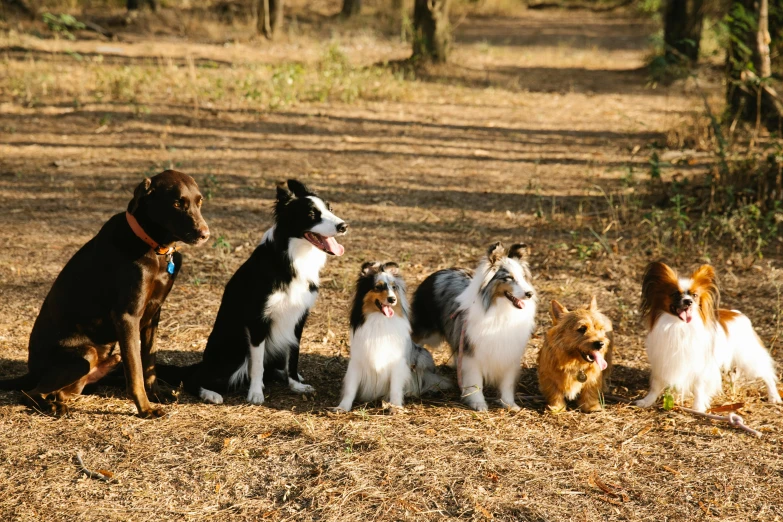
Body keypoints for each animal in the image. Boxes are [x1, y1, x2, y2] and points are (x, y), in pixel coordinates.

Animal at [0, 172, 208, 418]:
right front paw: (145, 408)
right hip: (85, 355)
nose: (205, 234)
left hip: (108, 358)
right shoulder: (127, 316)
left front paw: (157, 394)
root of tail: (31, 371)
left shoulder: (153, 314)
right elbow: (136, 371)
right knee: (30, 393)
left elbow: (149, 361)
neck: (155, 248)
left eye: (199, 202)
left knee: (62, 391)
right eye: (176, 203)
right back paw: (53, 406)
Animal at [334, 260, 450, 410]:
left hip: (423, 356)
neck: (380, 320)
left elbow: (395, 387)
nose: (392, 299)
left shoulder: (397, 362)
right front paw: (343, 407)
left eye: (394, 287)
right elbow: (351, 387)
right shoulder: (357, 361)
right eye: (378, 287)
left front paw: (395, 406)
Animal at [410, 242, 540, 408]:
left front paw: (509, 404)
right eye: (508, 277)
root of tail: (436, 273)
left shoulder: (509, 352)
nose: (529, 294)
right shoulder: (472, 352)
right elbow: (475, 381)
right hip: (427, 332)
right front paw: (478, 403)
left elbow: (507, 383)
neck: (500, 310)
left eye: (523, 277)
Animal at [636, 260, 783, 410]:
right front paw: (647, 401)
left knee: (767, 374)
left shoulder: (700, 365)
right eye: (675, 294)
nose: (688, 301)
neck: (679, 325)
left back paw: (774, 396)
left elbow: (698, 387)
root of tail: (737, 314)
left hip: (749, 359)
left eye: (695, 295)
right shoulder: (661, 362)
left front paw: (698, 407)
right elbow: (656, 384)